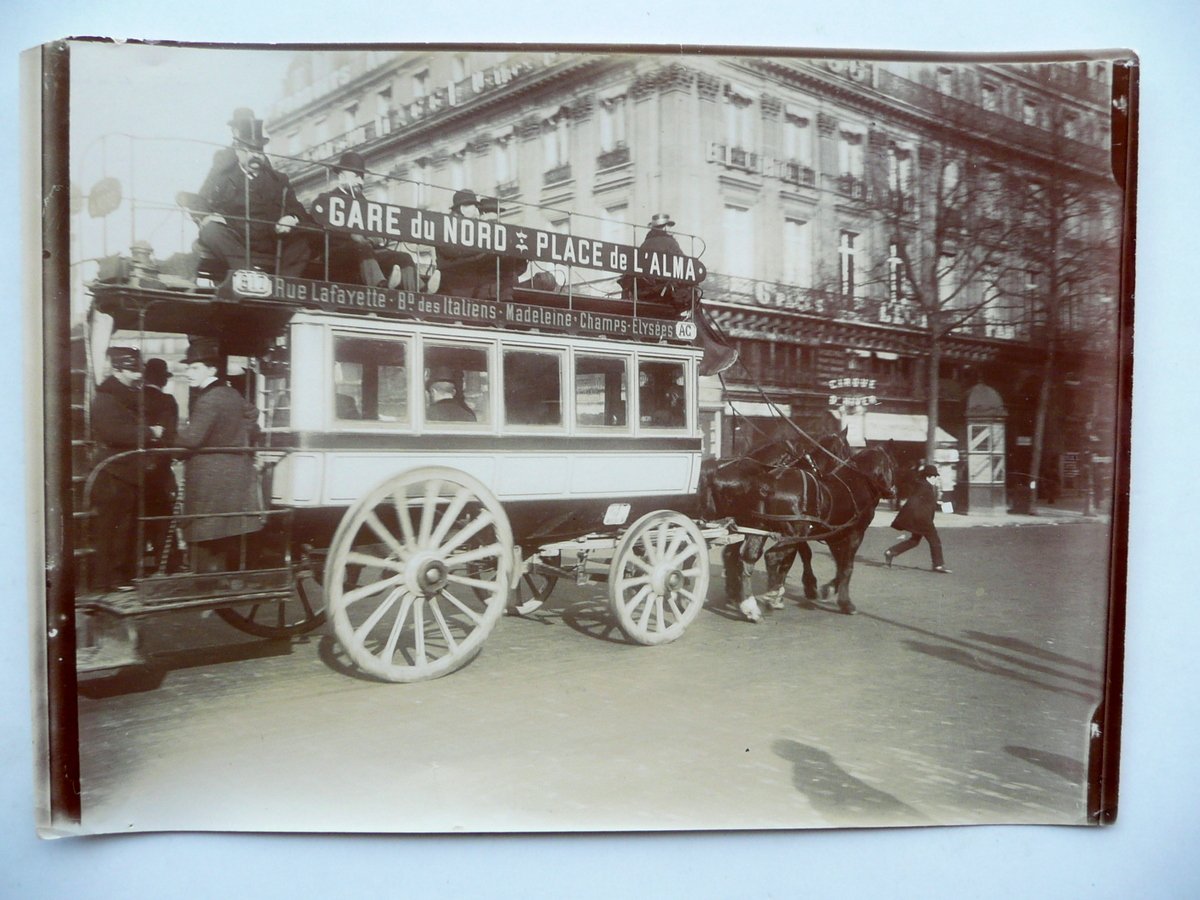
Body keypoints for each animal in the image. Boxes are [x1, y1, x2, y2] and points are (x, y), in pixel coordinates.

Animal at [700, 441, 892, 619]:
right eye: (891, 464)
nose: (891, 492)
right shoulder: (853, 534)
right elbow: (845, 566)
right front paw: (843, 601)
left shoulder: (833, 536)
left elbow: (832, 563)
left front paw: (824, 588)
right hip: (786, 532)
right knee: (768, 556)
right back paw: (764, 597)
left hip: (757, 526)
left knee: (744, 557)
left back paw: (746, 602)